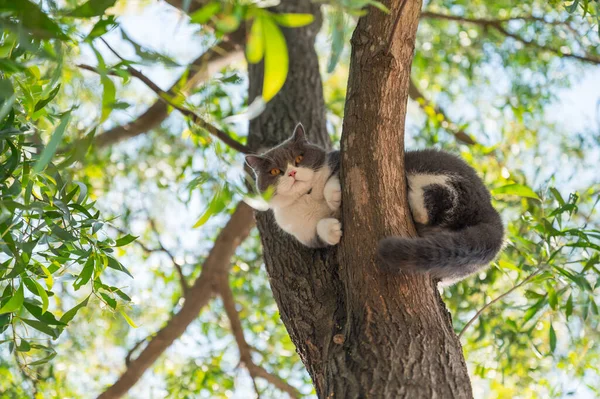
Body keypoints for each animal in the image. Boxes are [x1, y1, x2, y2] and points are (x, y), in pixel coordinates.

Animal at [246, 123, 504, 282]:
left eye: (299, 158)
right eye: (275, 171)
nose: (291, 173)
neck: (307, 195)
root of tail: (491, 214)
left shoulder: (340, 160)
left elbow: (335, 177)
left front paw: (333, 195)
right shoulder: (302, 232)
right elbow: (319, 233)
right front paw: (332, 230)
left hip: (430, 166)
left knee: (443, 196)